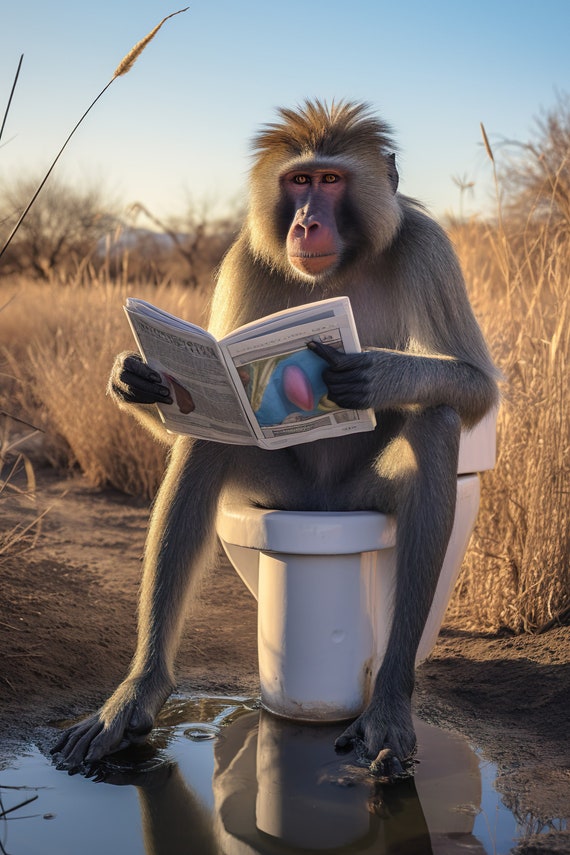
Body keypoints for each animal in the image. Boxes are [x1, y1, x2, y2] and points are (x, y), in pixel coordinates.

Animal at [52, 100, 499, 778]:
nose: (306, 224)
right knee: (207, 441)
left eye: (331, 180)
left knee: (436, 420)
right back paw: (140, 694)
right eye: (299, 181)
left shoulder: (429, 245)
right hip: (277, 498)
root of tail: (322, 510)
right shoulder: (244, 256)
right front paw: (135, 379)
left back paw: (389, 705)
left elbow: (478, 385)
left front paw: (374, 374)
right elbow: (200, 411)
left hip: (357, 500)